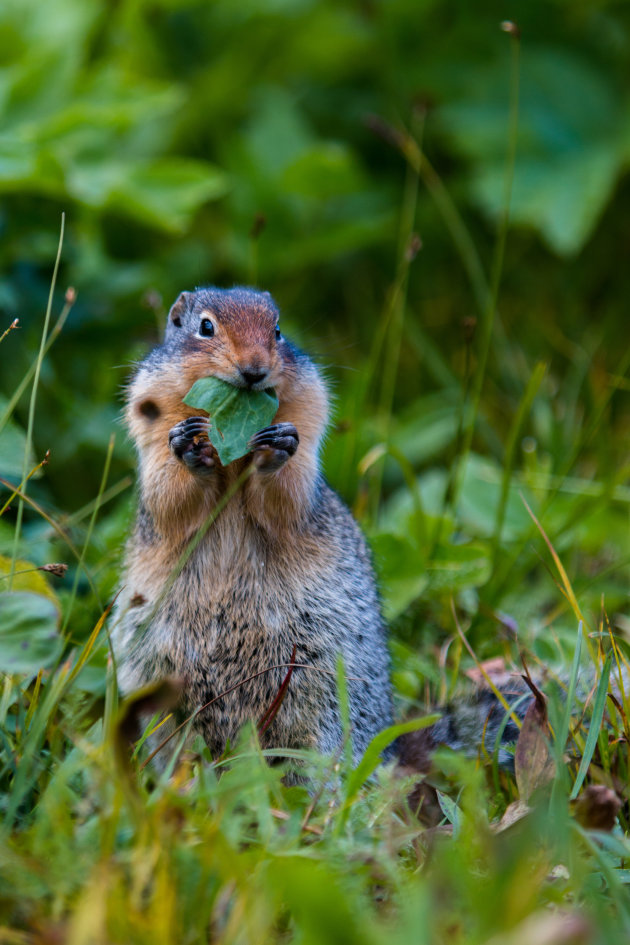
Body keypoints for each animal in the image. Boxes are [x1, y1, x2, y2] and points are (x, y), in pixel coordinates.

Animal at [111, 286, 392, 760]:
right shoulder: (149, 423)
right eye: (205, 326)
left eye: (277, 330)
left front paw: (277, 447)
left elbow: (288, 498)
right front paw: (188, 447)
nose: (255, 369)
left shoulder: (309, 414)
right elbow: (169, 498)